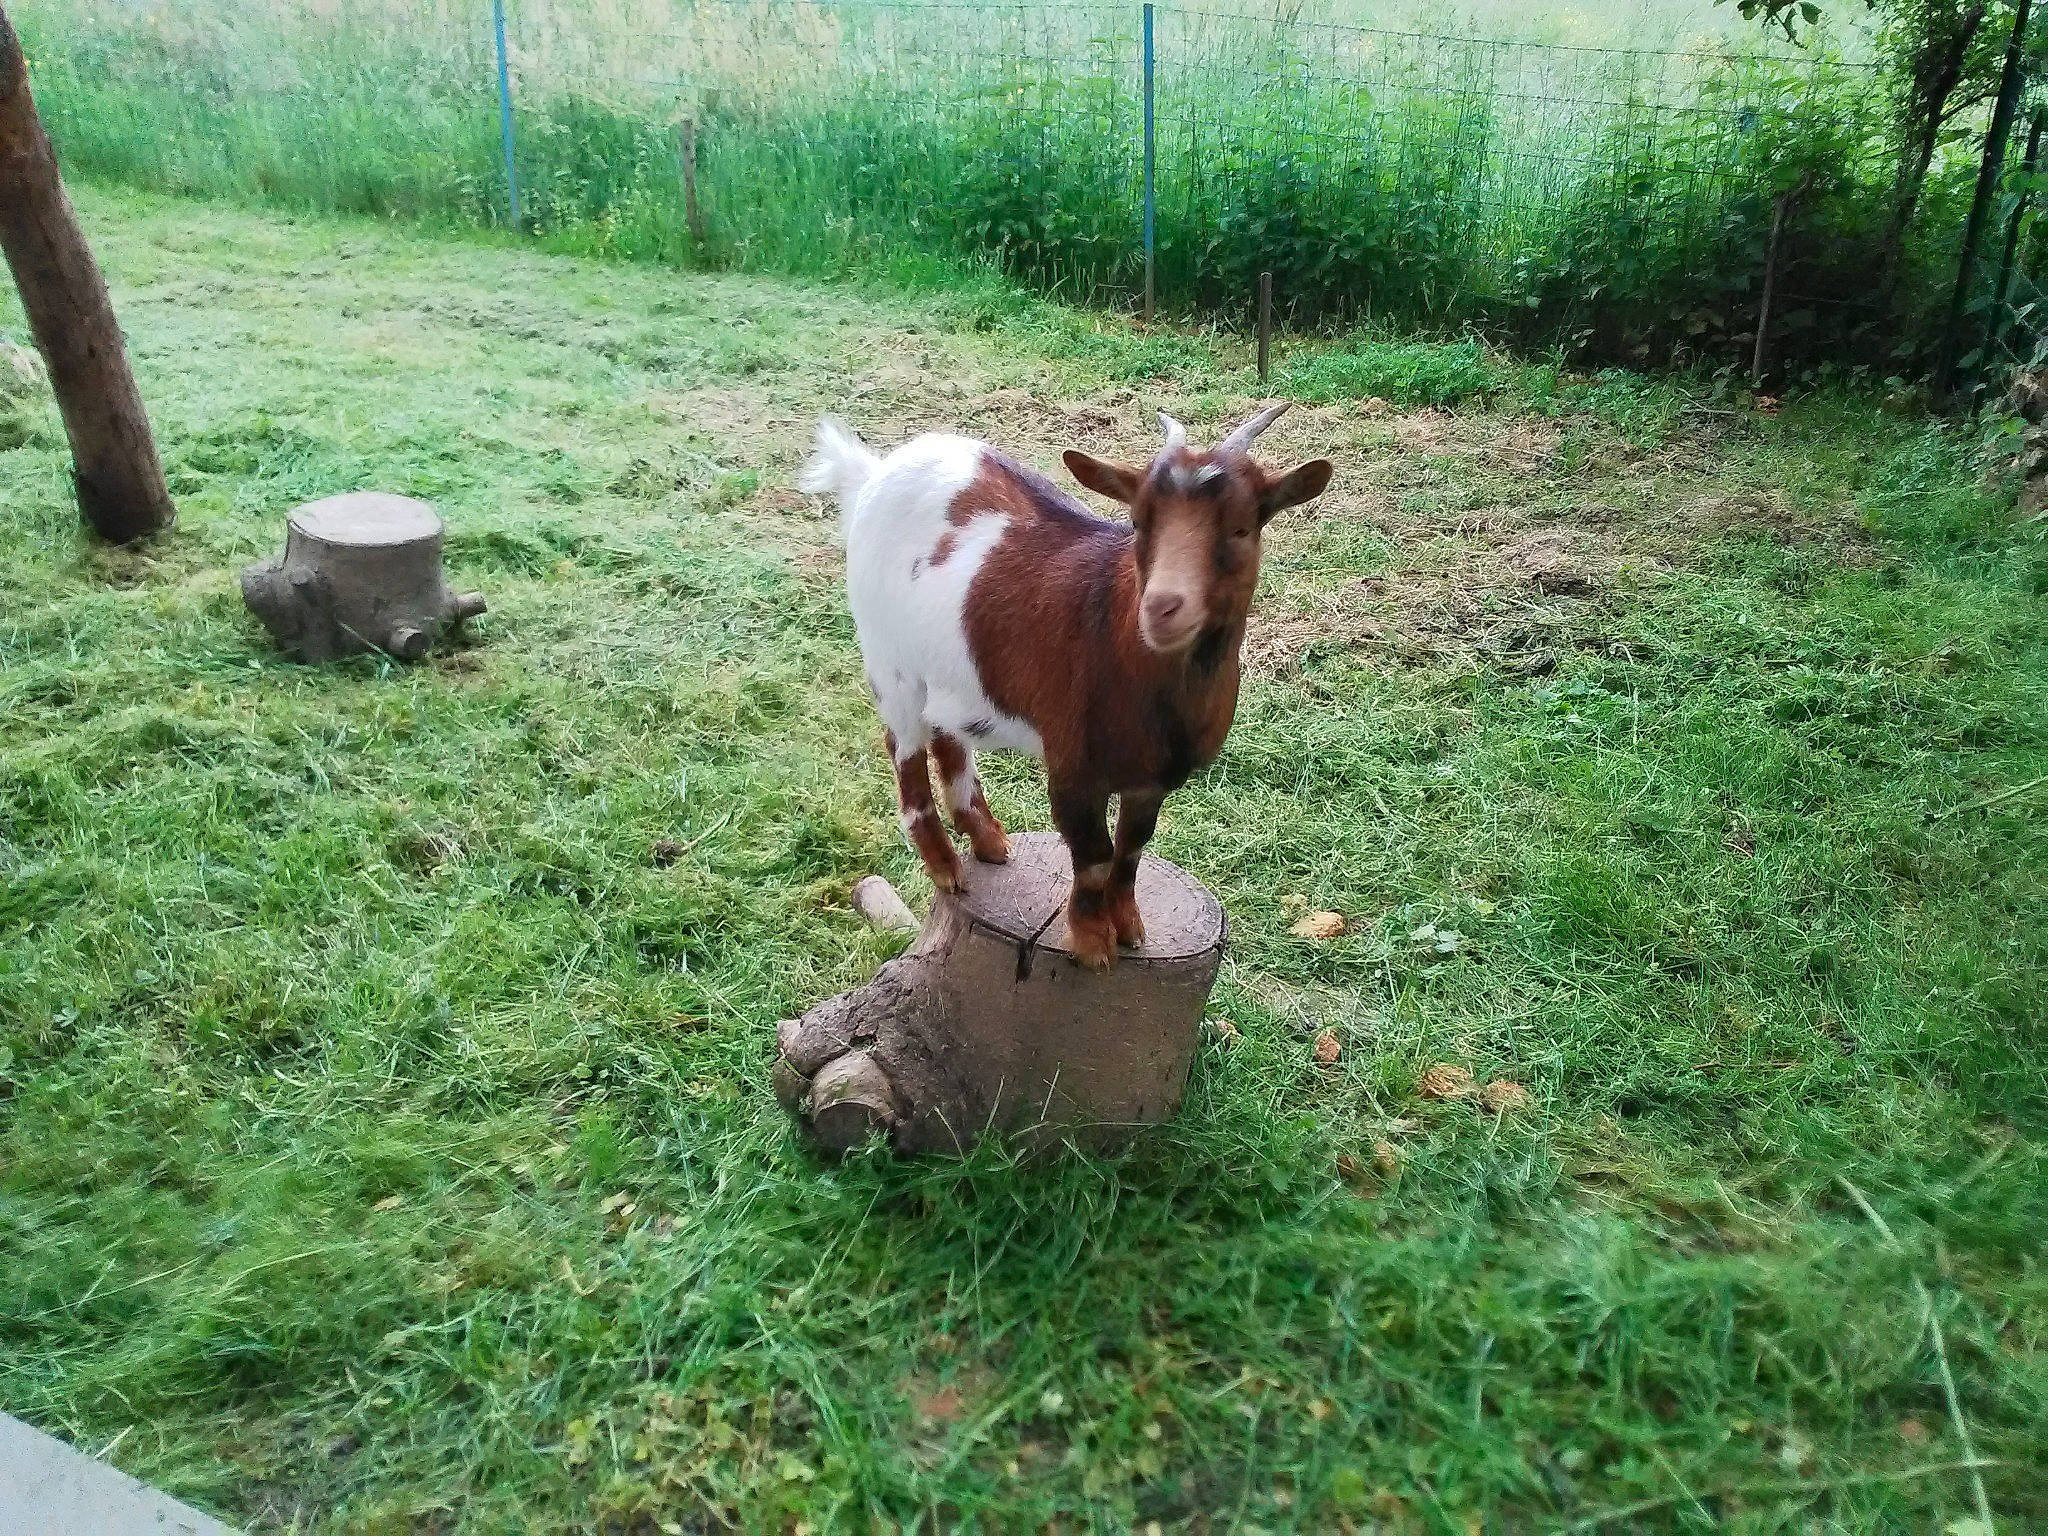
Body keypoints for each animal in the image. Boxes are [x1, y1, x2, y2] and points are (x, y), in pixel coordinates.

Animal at [801, 405, 1333, 970]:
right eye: (1138, 522)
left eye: (1241, 528)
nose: (1162, 607)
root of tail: (873, 472)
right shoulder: (1074, 768)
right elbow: (1094, 855)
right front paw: (1093, 943)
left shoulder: (1152, 780)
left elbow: (1131, 848)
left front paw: (1132, 928)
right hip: (889, 661)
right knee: (904, 749)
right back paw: (946, 867)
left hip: (949, 663)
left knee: (947, 735)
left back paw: (987, 839)